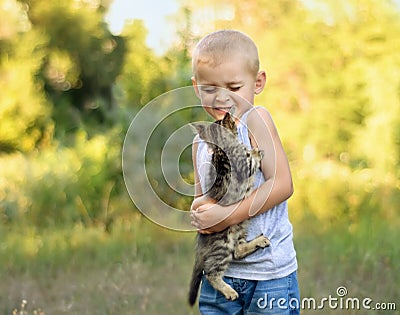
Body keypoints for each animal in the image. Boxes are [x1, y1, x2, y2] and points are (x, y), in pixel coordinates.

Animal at [188, 108, 270, 306]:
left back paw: (259, 241)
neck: (220, 148)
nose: (235, 124)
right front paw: (256, 151)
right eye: (232, 124)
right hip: (223, 244)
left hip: (240, 227)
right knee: (211, 272)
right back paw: (229, 291)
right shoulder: (243, 165)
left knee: (238, 251)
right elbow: (251, 159)